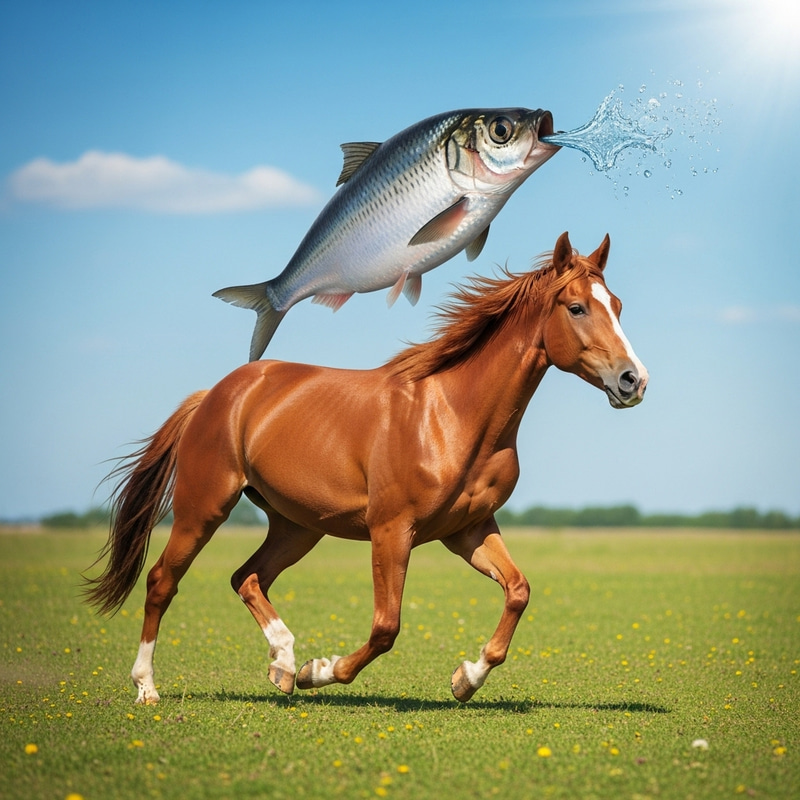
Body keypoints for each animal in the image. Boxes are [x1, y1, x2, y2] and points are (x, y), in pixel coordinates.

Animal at [85, 230, 648, 705]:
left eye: (618, 306)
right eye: (576, 307)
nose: (633, 380)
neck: (452, 416)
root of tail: (216, 395)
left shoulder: (467, 529)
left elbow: (518, 591)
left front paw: (466, 679)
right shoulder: (391, 530)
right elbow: (386, 626)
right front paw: (321, 670)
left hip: (296, 526)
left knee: (246, 577)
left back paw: (282, 663)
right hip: (203, 507)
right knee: (162, 581)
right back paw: (149, 688)